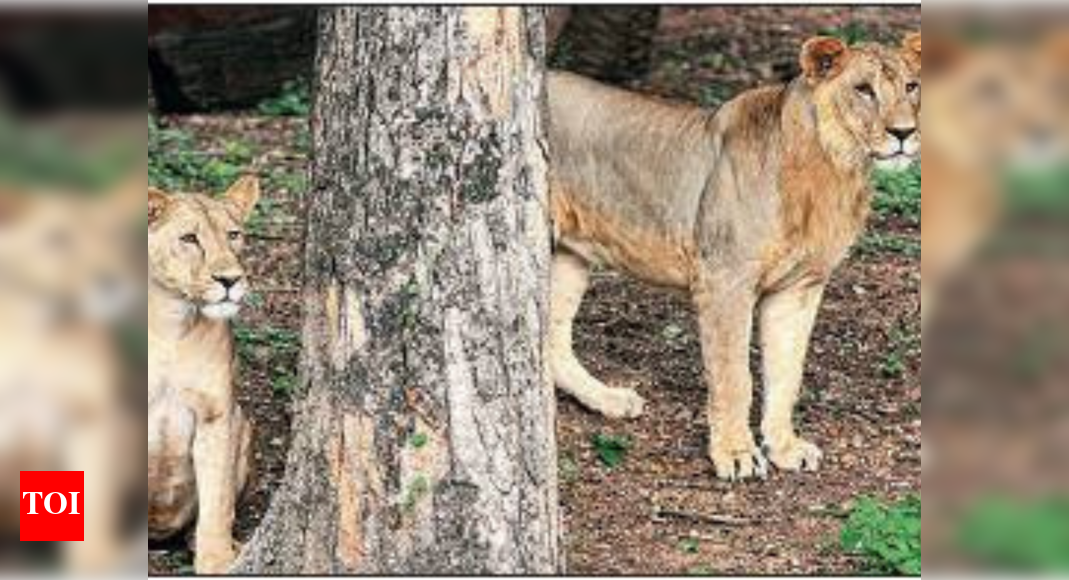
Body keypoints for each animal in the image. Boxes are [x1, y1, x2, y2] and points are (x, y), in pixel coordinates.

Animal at [146, 176, 258, 574]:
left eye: (234, 235)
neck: (171, 324)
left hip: (244, 422)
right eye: (190, 239)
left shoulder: (217, 415)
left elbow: (217, 501)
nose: (231, 279)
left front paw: (217, 560)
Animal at [546, 33, 921, 481]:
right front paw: (736, 453)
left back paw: (609, 399)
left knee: (552, 341)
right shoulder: (725, 280)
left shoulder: (800, 288)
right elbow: (734, 377)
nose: (905, 132)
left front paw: (784, 447)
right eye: (863, 89)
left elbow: (786, 374)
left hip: (569, 255)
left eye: (911, 86)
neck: (834, 169)